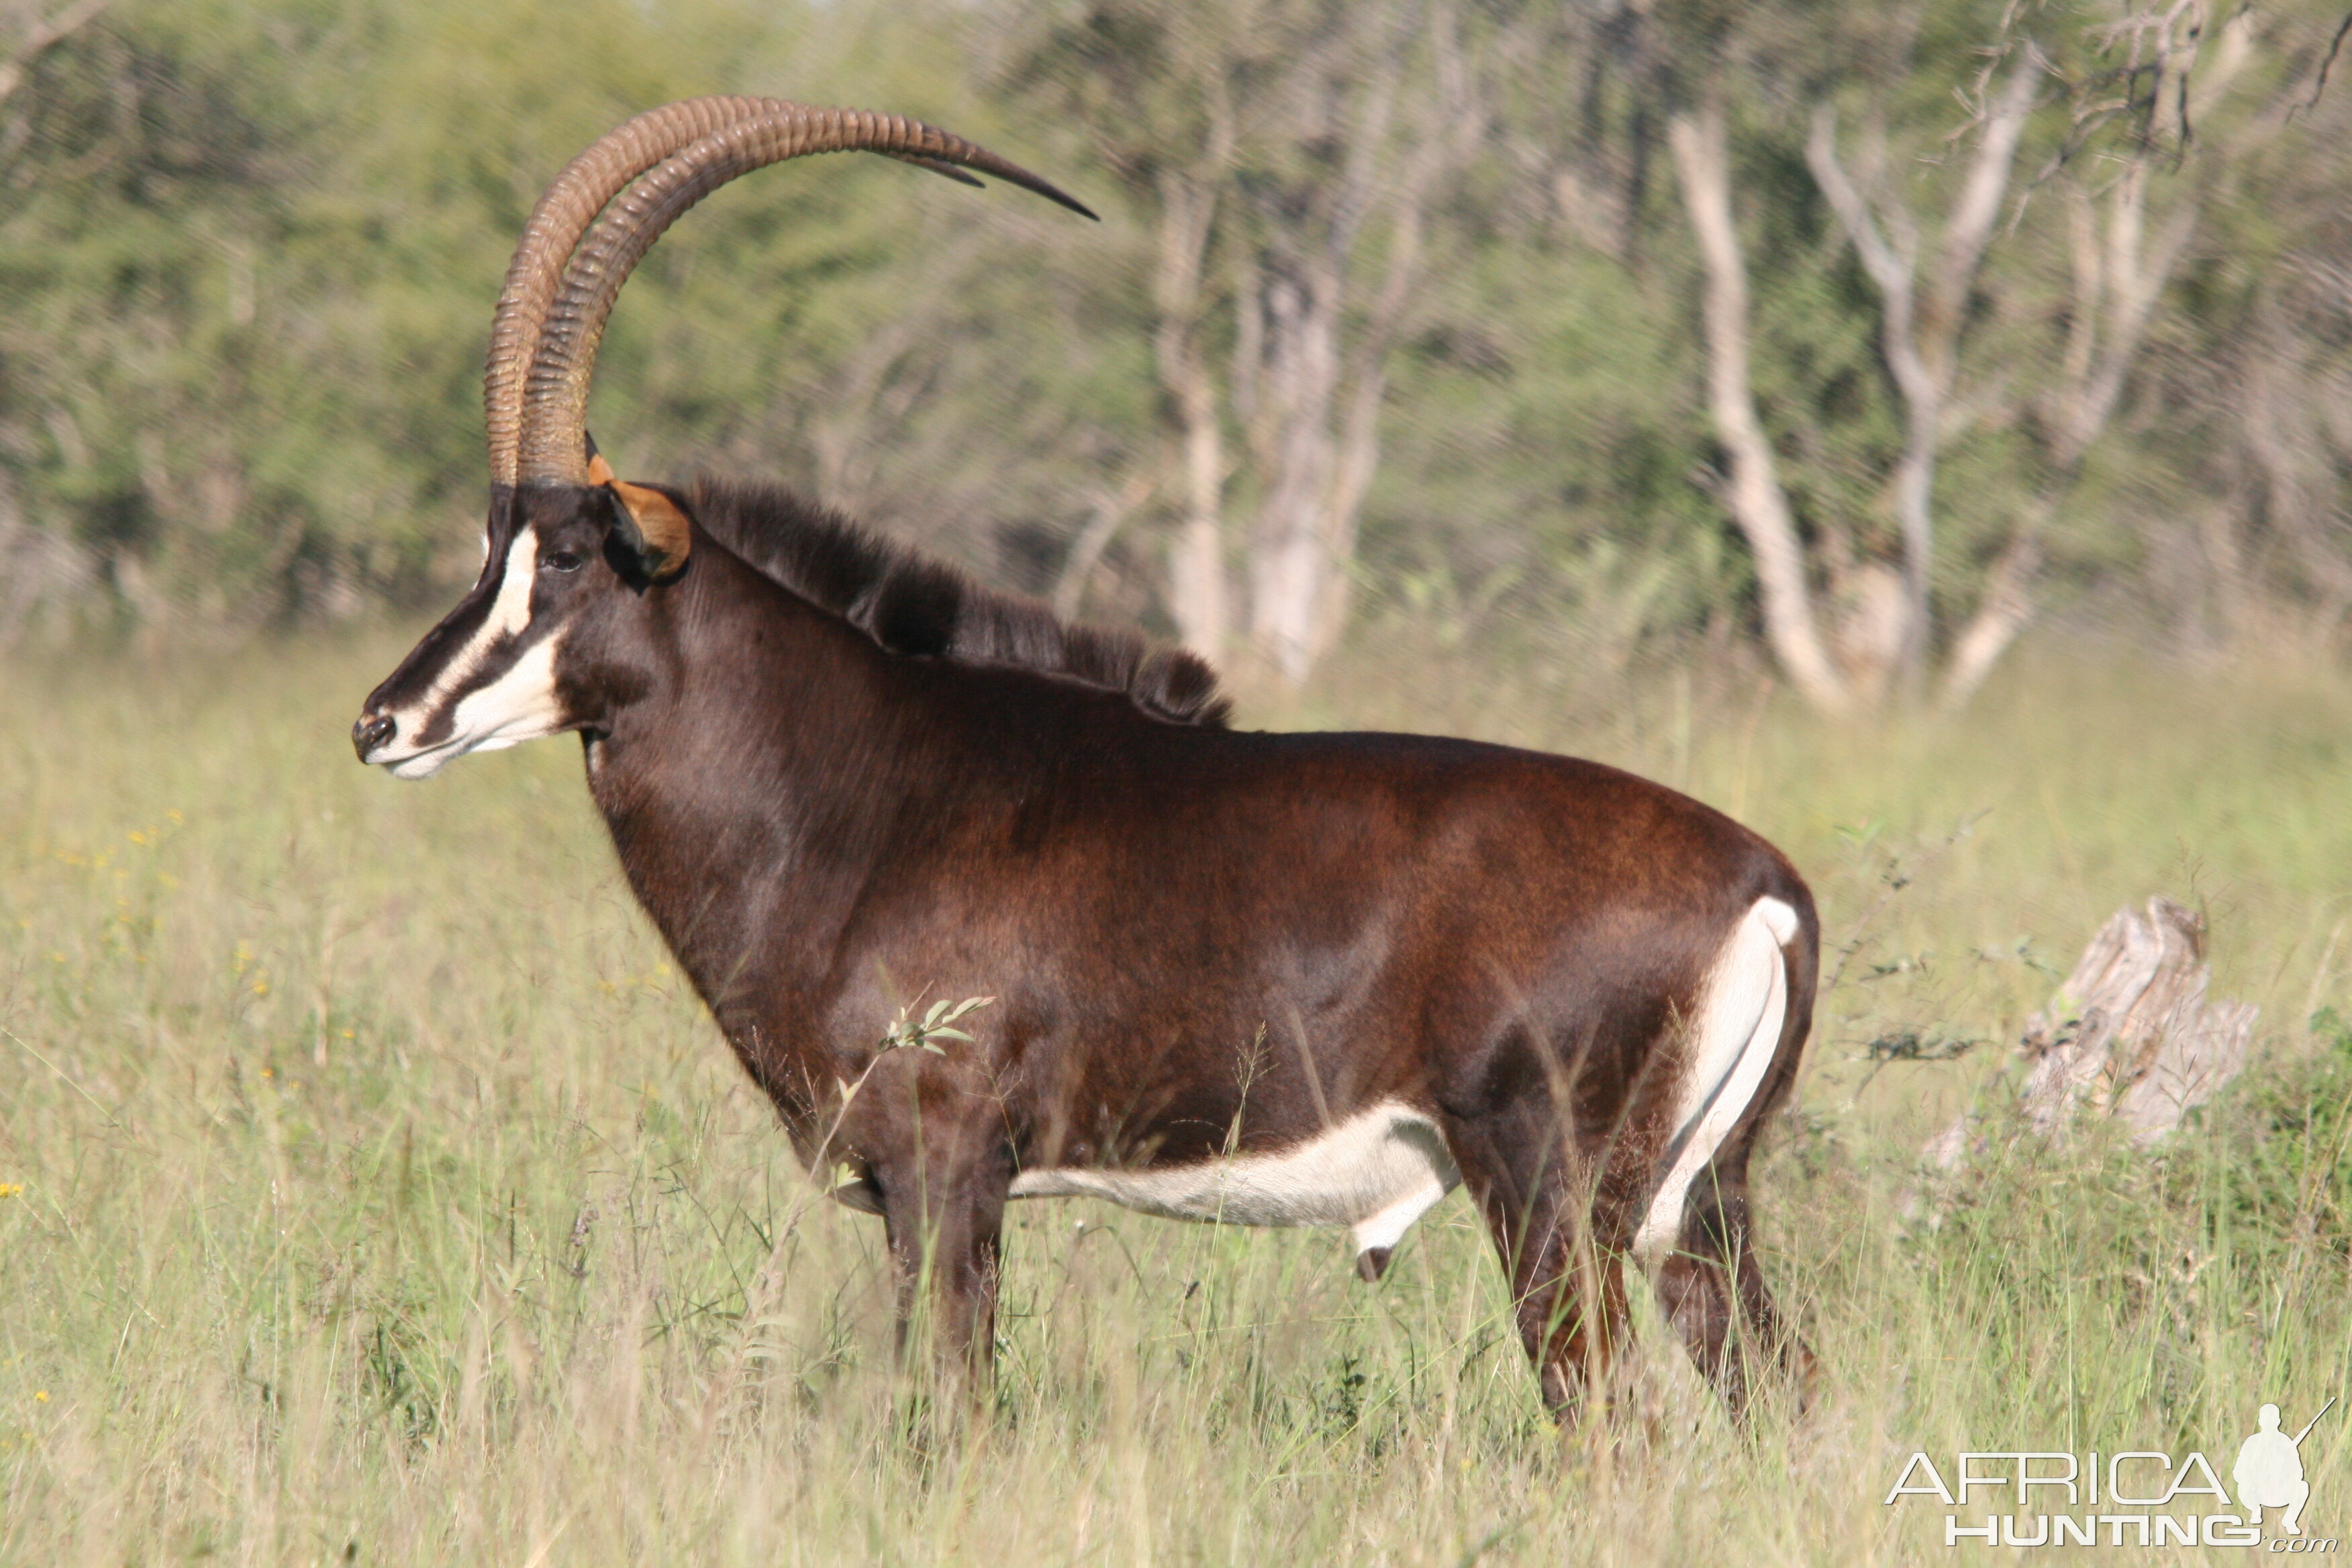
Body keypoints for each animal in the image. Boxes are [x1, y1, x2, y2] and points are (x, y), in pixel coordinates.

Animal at [352, 98, 1816, 1420]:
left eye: (570, 557)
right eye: (490, 545)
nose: (383, 723)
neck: (856, 792)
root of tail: (1766, 890)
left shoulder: (944, 1170)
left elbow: (944, 1405)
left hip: (1551, 1196)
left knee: (1612, 1423)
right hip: (1695, 1211)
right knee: (1781, 1396)